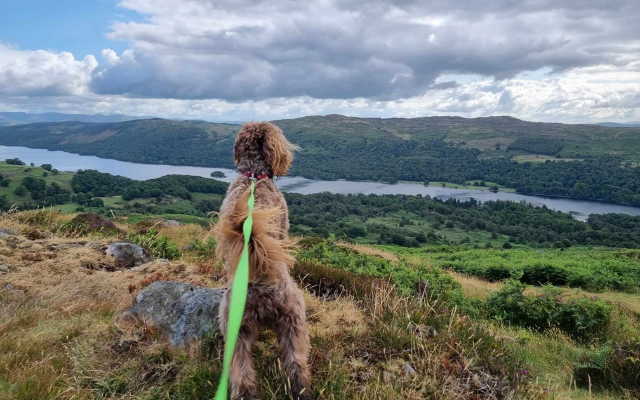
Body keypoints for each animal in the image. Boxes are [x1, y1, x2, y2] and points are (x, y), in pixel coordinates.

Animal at [214, 122, 312, 400]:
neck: (254, 175)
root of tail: (262, 294)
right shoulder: (283, 231)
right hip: (295, 322)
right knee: (298, 365)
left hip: (238, 335)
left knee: (244, 378)